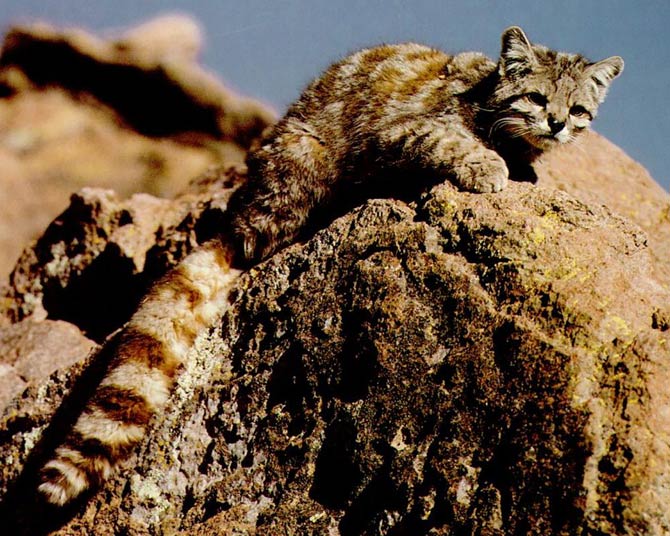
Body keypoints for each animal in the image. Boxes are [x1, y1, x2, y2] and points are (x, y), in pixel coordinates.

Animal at [36, 27, 624, 506]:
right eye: (537, 97)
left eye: (577, 109)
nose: (555, 124)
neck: (487, 99)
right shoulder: (402, 131)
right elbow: (451, 141)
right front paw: (489, 166)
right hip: (303, 168)